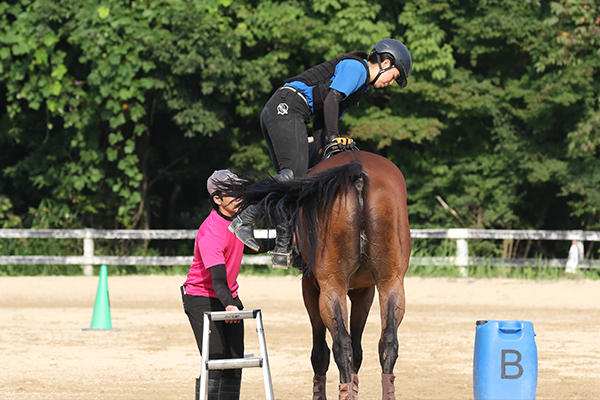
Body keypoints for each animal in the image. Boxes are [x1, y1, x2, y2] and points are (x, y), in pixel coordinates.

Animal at [218, 151, 410, 400]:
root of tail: (357, 170)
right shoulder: (364, 291)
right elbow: (358, 350)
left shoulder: (310, 287)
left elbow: (320, 353)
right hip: (391, 282)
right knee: (387, 342)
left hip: (331, 287)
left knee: (340, 344)